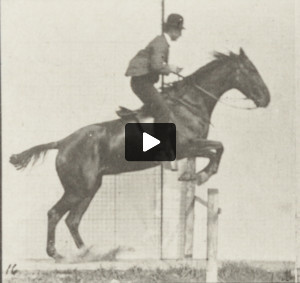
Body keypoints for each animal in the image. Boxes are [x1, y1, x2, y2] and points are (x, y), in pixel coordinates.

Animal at [9, 48, 270, 262]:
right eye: (252, 71)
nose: (266, 99)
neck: (189, 104)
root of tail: (63, 142)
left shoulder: (193, 147)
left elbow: (217, 149)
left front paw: (195, 176)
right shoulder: (188, 146)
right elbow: (218, 148)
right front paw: (200, 176)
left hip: (89, 188)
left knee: (72, 220)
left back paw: (88, 254)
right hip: (78, 188)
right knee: (55, 213)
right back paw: (57, 254)